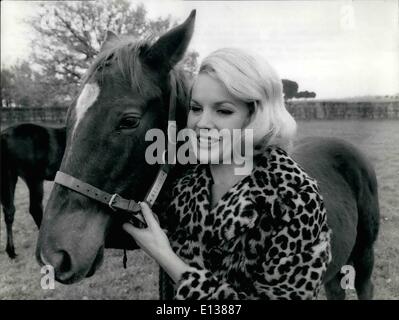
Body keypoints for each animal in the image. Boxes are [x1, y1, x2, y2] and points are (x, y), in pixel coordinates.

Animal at [0, 122, 65, 258]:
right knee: (35, 208)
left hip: (9, 177)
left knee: (9, 211)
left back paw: (11, 250)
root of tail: (4, 136)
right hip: (34, 179)